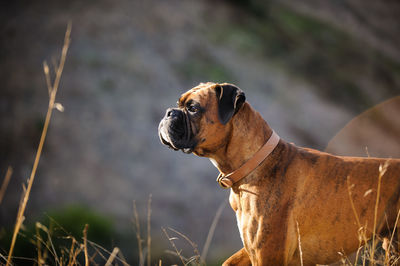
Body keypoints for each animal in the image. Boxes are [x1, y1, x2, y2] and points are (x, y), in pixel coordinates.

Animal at [158, 82, 400, 264]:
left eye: (193, 108)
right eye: (179, 104)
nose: (169, 112)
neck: (256, 163)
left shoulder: (267, 254)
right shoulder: (251, 249)